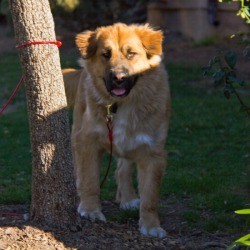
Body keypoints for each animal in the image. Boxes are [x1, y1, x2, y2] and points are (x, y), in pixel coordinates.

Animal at [63, 22, 171, 237]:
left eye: (131, 54)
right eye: (106, 54)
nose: (119, 78)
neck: (119, 105)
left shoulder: (152, 153)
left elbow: (150, 197)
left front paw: (151, 226)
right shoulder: (87, 142)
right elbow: (89, 180)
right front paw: (90, 209)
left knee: (122, 169)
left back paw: (128, 198)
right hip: (78, 131)